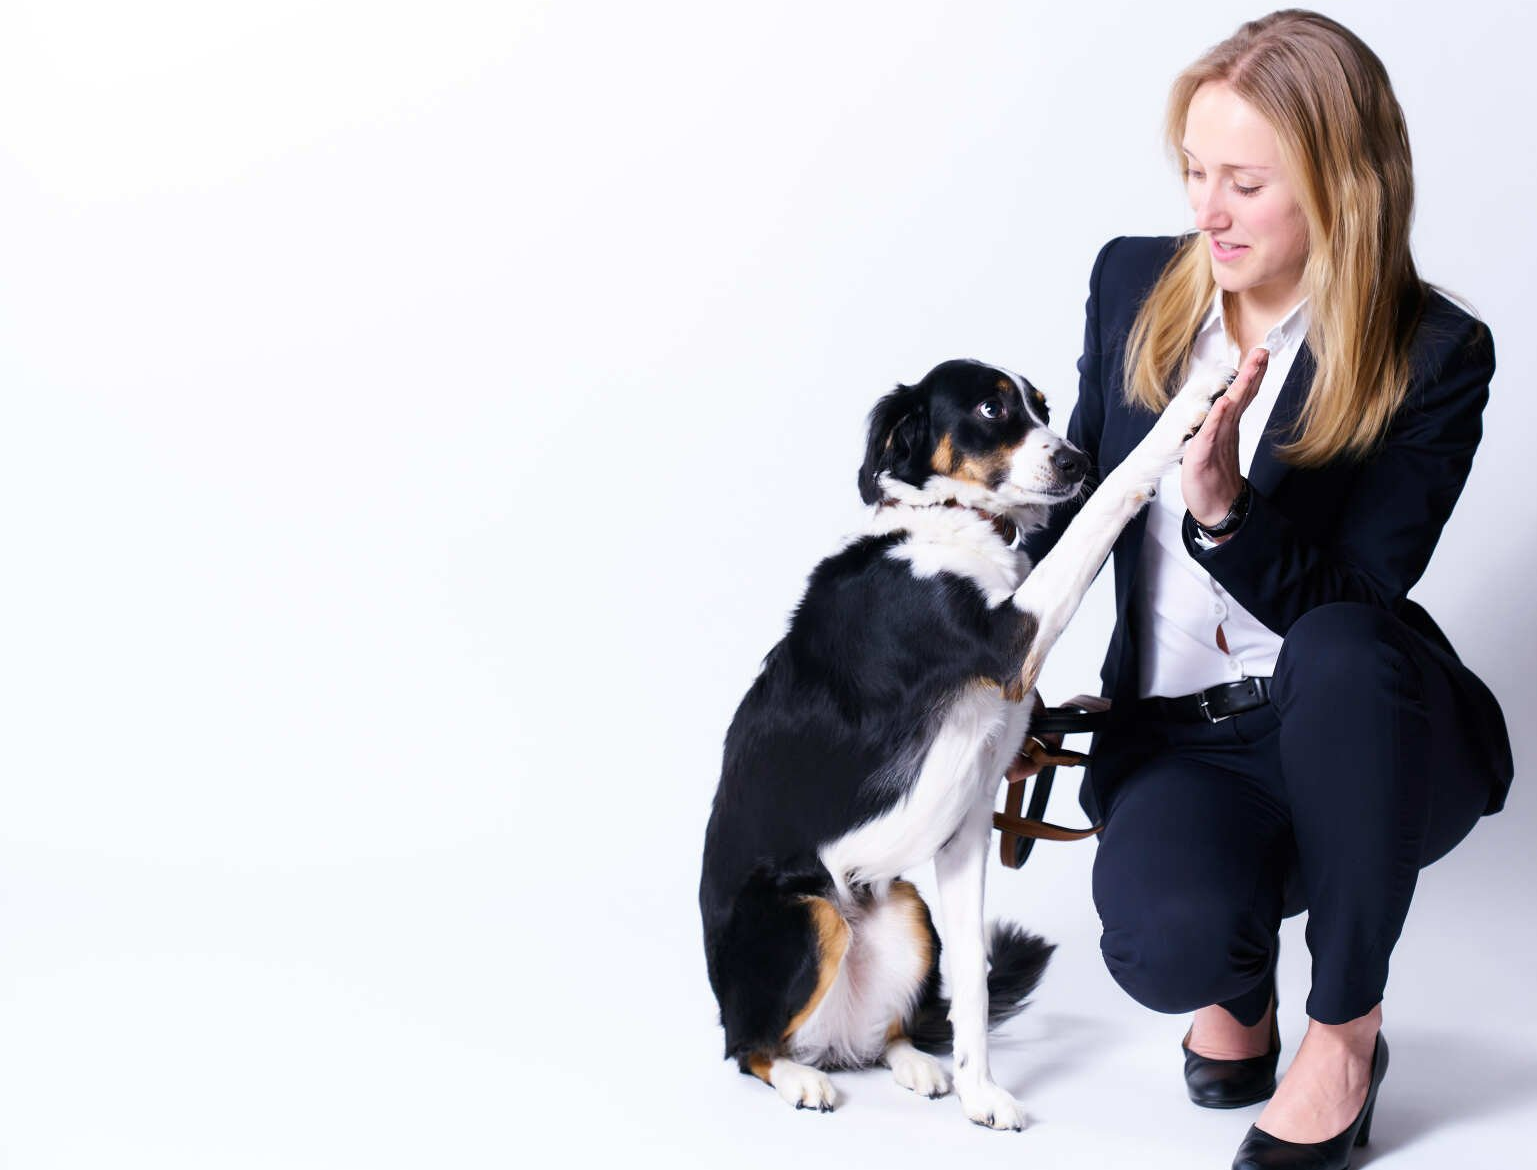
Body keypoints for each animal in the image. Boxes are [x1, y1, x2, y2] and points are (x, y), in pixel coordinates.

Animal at [700, 357, 1226, 1128]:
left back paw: (915, 1064)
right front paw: (1195, 397)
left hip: (906, 909)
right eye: (990, 409)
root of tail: (828, 1043)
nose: (1076, 459)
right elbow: (1112, 498)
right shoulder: (1010, 640)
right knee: (748, 1047)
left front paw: (983, 1096)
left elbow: (973, 981)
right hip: (808, 912)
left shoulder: (969, 826)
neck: (952, 521)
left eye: (1042, 408)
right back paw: (800, 1078)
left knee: (885, 1033)